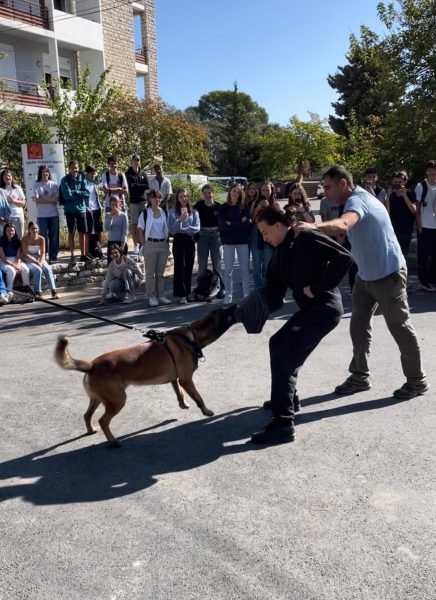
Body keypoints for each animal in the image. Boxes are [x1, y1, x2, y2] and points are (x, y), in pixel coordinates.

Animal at [54, 310, 235, 446]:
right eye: (226, 312)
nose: (234, 305)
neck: (190, 336)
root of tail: (91, 365)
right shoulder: (186, 380)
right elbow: (198, 397)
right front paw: (206, 412)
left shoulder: (175, 380)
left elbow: (179, 393)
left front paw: (183, 404)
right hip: (117, 400)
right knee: (103, 421)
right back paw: (113, 441)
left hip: (98, 399)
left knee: (87, 415)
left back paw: (91, 430)